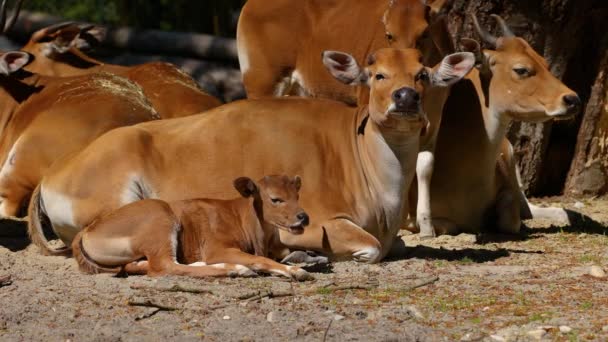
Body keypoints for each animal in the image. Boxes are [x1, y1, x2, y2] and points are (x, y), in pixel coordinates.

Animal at [28, 46, 476, 262]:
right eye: (377, 74)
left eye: (422, 73)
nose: (405, 97)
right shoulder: (322, 223)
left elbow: (393, 244)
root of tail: (52, 175)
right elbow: (371, 248)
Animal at [72, 175, 314, 282]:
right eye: (275, 199)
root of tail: (87, 230)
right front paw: (296, 271)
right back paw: (235, 269)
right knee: (164, 267)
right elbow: (260, 259)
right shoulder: (216, 248)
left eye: (297, 195)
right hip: (160, 219)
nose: (303, 217)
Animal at [414, 14, 580, 238]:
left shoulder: (509, 193)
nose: (572, 99)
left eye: (544, 63)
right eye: (521, 69)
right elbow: (450, 225)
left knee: (530, 209)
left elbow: (511, 218)